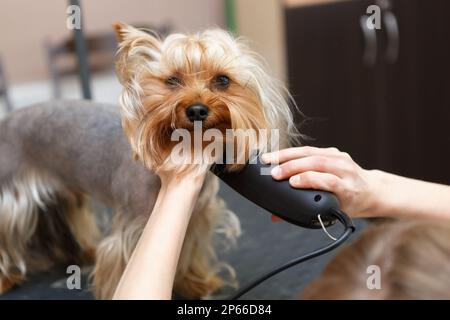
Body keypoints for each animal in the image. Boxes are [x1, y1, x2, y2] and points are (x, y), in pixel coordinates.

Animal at [0, 23, 298, 300]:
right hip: (13, 194)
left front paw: (196, 283)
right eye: (172, 81)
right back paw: (7, 279)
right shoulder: (136, 224)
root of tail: (7, 121)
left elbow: (186, 252)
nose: (197, 110)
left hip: (64, 193)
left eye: (223, 80)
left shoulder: (194, 217)